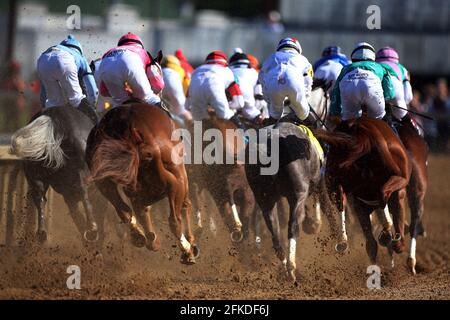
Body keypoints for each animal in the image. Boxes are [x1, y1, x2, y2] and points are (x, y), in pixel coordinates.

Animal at [85, 103, 198, 264]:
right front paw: (189, 243)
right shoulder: (178, 178)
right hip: (176, 177)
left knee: (124, 210)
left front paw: (151, 238)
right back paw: (186, 250)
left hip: (103, 181)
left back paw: (140, 237)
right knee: (174, 218)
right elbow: (183, 207)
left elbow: (139, 209)